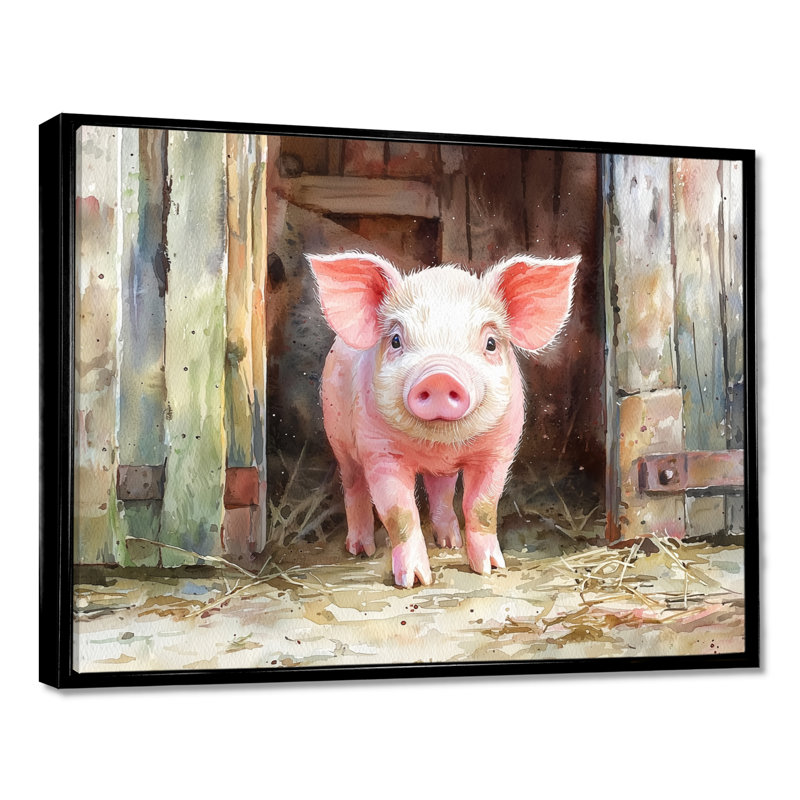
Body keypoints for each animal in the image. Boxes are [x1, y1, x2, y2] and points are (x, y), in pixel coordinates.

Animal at [307, 251, 580, 588]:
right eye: (395, 340)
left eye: (491, 343)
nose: (439, 376)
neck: (441, 444)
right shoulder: (379, 450)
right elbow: (399, 512)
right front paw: (414, 582)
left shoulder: (500, 448)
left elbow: (482, 506)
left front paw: (490, 569)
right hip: (339, 438)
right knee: (354, 484)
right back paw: (361, 550)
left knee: (442, 488)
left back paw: (450, 542)